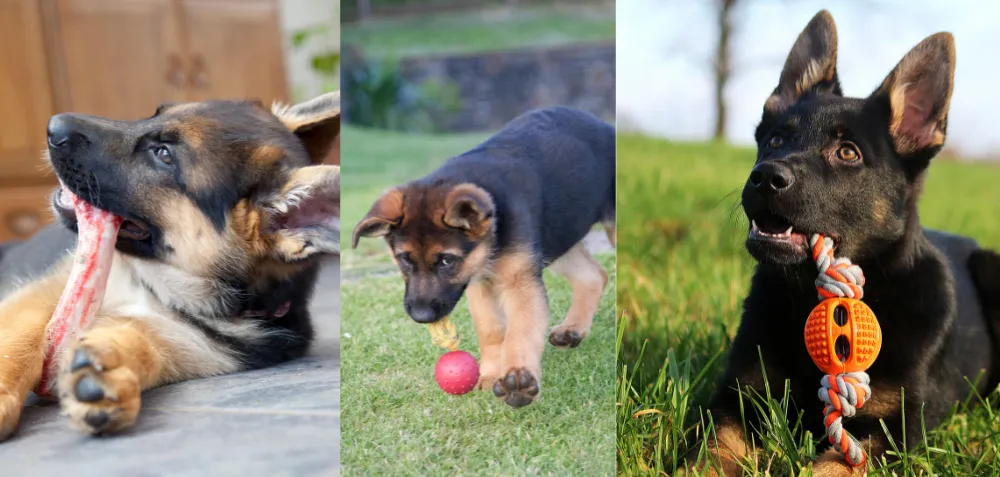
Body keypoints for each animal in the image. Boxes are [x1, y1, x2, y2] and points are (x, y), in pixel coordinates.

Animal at [0, 91, 342, 436]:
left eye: (163, 154)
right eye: (155, 115)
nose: (52, 126)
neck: (163, 283)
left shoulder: (192, 343)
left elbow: (147, 340)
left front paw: (110, 365)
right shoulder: (47, 291)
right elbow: (19, 339)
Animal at [352, 106, 616, 408]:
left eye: (446, 261)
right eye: (405, 259)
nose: (421, 316)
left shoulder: (519, 282)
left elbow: (520, 331)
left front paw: (518, 377)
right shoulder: (479, 281)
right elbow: (491, 329)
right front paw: (491, 373)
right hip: (560, 234)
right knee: (594, 275)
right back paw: (574, 329)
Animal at [688, 11, 1000, 476]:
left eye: (848, 152)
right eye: (776, 140)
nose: (765, 177)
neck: (810, 296)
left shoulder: (891, 427)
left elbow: (835, 465)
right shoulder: (738, 396)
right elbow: (713, 448)